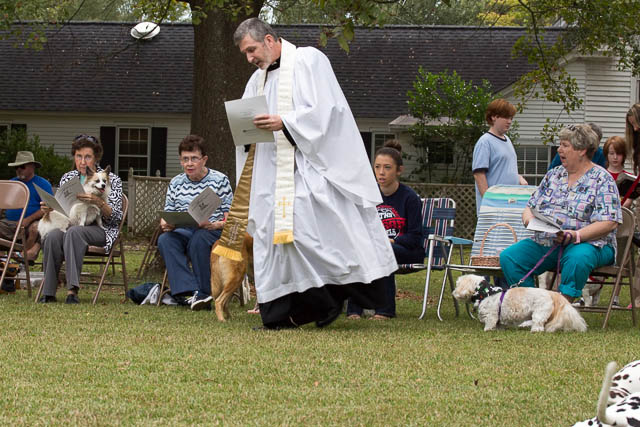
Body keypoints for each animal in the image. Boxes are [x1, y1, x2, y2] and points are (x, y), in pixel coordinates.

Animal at [452, 276, 588, 332]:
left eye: (457, 284)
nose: (453, 292)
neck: (486, 292)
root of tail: (551, 293)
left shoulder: (491, 316)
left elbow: (489, 325)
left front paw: (488, 330)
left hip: (539, 313)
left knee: (538, 324)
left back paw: (535, 330)